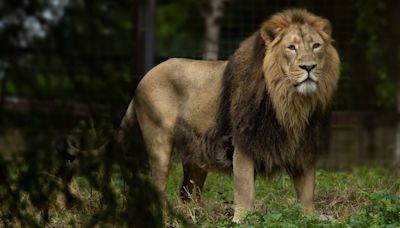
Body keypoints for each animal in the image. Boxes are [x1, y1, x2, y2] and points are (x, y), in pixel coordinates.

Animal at [76, 8, 340, 221]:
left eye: (316, 46)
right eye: (291, 47)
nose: (309, 67)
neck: (289, 101)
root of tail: (143, 79)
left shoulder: (303, 146)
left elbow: (307, 192)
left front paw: (311, 217)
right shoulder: (243, 145)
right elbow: (245, 190)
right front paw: (242, 220)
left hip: (196, 154)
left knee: (187, 193)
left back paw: (195, 215)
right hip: (159, 142)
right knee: (158, 187)